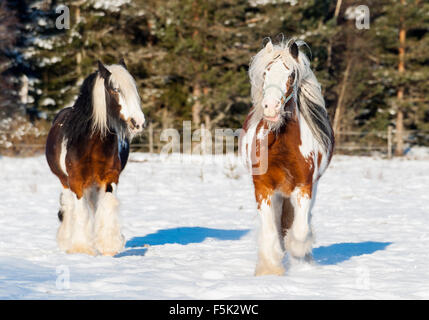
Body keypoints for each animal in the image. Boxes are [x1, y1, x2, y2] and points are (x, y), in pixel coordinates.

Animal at [46, 58, 145, 256]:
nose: (138, 122)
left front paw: (109, 245)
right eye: (115, 89)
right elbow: (81, 212)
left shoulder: (109, 178)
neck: (91, 143)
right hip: (65, 180)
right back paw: (66, 240)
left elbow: (106, 207)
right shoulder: (76, 181)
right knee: (69, 207)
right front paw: (81, 248)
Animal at [237, 39, 334, 276]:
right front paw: (270, 268)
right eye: (265, 73)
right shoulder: (263, 188)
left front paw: (298, 253)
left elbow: (299, 229)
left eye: (291, 75)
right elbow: (270, 230)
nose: (271, 108)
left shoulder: (304, 187)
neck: (281, 146)